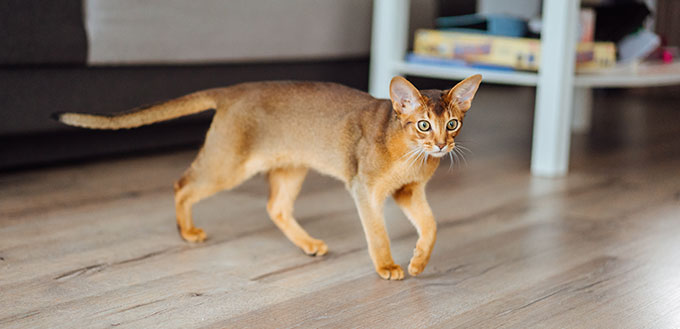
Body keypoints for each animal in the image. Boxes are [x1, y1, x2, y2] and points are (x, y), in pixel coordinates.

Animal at [55, 74, 484, 280]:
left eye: (454, 124)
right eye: (424, 125)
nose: (442, 146)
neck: (411, 156)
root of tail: (233, 88)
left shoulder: (409, 192)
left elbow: (432, 226)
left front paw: (418, 263)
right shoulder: (365, 190)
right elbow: (377, 233)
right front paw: (388, 267)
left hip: (290, 167)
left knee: (276, 207)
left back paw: (308, 244)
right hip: (229, 165)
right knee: (182, 184)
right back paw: (187, 232)